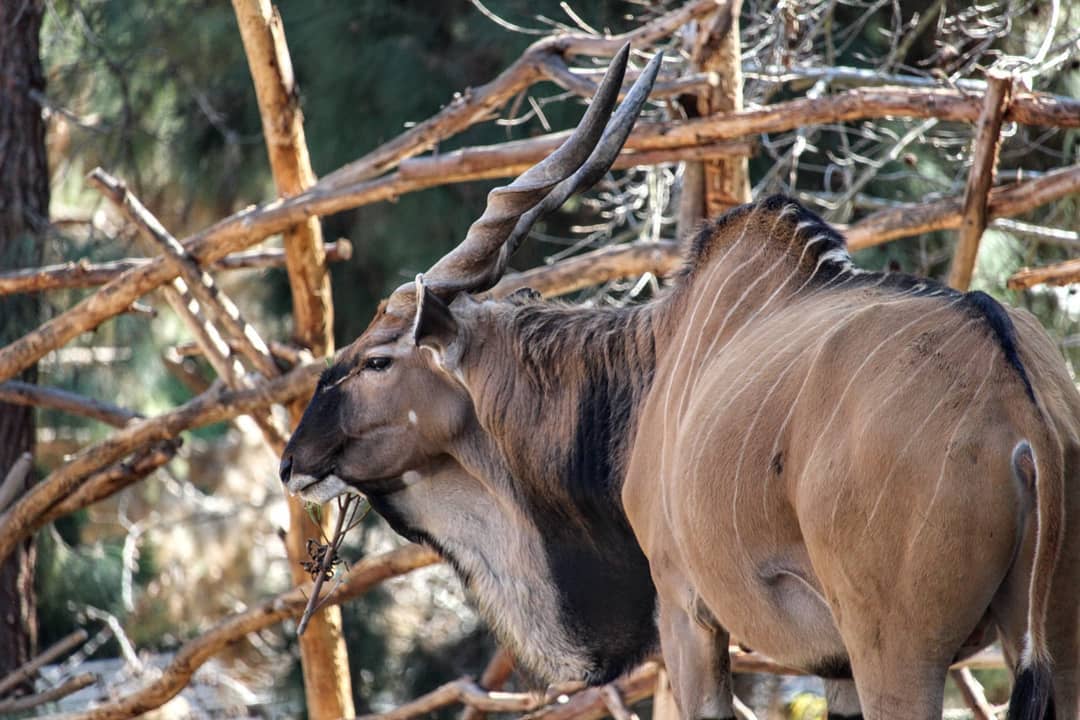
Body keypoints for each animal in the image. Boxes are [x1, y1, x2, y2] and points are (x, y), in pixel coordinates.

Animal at [280, 46, 1080, 720]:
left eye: (379, 360)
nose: (293, 461)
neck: (652, 364)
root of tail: (1022, 413)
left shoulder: (686, 612)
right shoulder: (835, 667)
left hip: (901, 652)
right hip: (1050, 652)